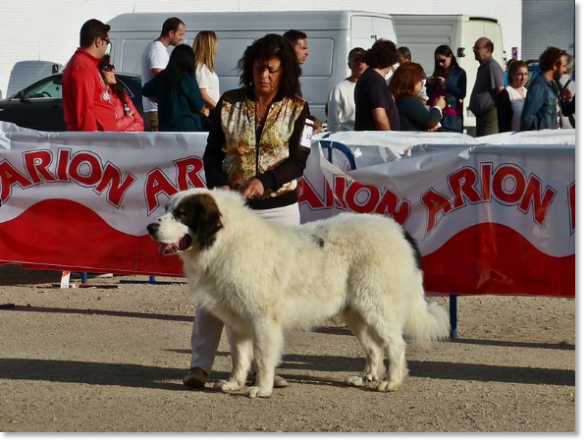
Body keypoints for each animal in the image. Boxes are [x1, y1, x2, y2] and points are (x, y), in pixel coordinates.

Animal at [146, 187, 448, 398]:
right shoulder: (236, 323)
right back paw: (366, 378)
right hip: (355, 313)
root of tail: (399, 231)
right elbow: (239, 357)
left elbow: (262, 357)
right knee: (374, 348)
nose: (150, 227)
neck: (225, 241)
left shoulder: (263, 320)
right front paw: (234, 383)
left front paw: (262, 389)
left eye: (182, 214)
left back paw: (391, 382)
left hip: (376, 305)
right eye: (167, 208)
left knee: (395, 345)